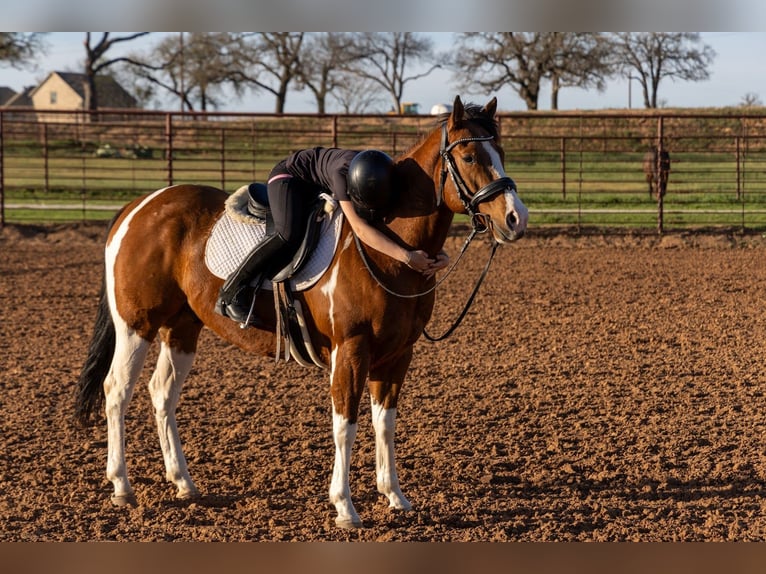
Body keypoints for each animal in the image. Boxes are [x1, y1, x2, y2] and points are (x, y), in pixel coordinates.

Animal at [74, 95, 528, 529]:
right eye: (469, 157)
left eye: (502, 151)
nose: (515, 218)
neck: (385, 249)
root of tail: (140, 205)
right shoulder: (351, 351)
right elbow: (345, 425)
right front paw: (345, 507)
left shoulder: (398, 356)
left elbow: (385, 423)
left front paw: (395, 497)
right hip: (136, 326)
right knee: (117, 391)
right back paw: (122, 486)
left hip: (182, 328)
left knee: (162, 393)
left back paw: (184, 483)